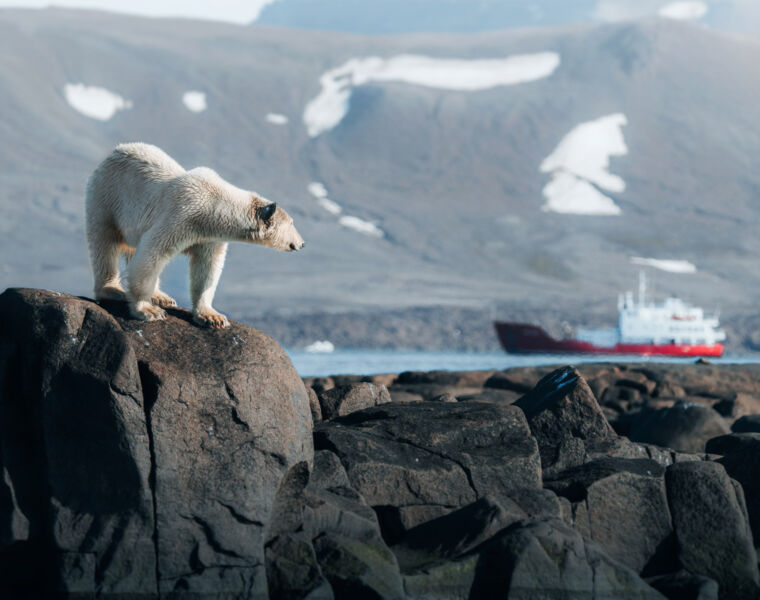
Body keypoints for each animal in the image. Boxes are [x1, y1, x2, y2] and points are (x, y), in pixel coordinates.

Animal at [84, 142, 304, 328]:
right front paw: (149, 311)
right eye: (293, 223)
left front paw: (213, 317)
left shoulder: (209, 238)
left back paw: (161, 296)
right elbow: (152, 255)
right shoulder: (180, 216)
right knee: (104, 242)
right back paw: (113, 289)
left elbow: (207, 269)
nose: (302, 244)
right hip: (107, 197)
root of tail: (116, 150)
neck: (214, 207)